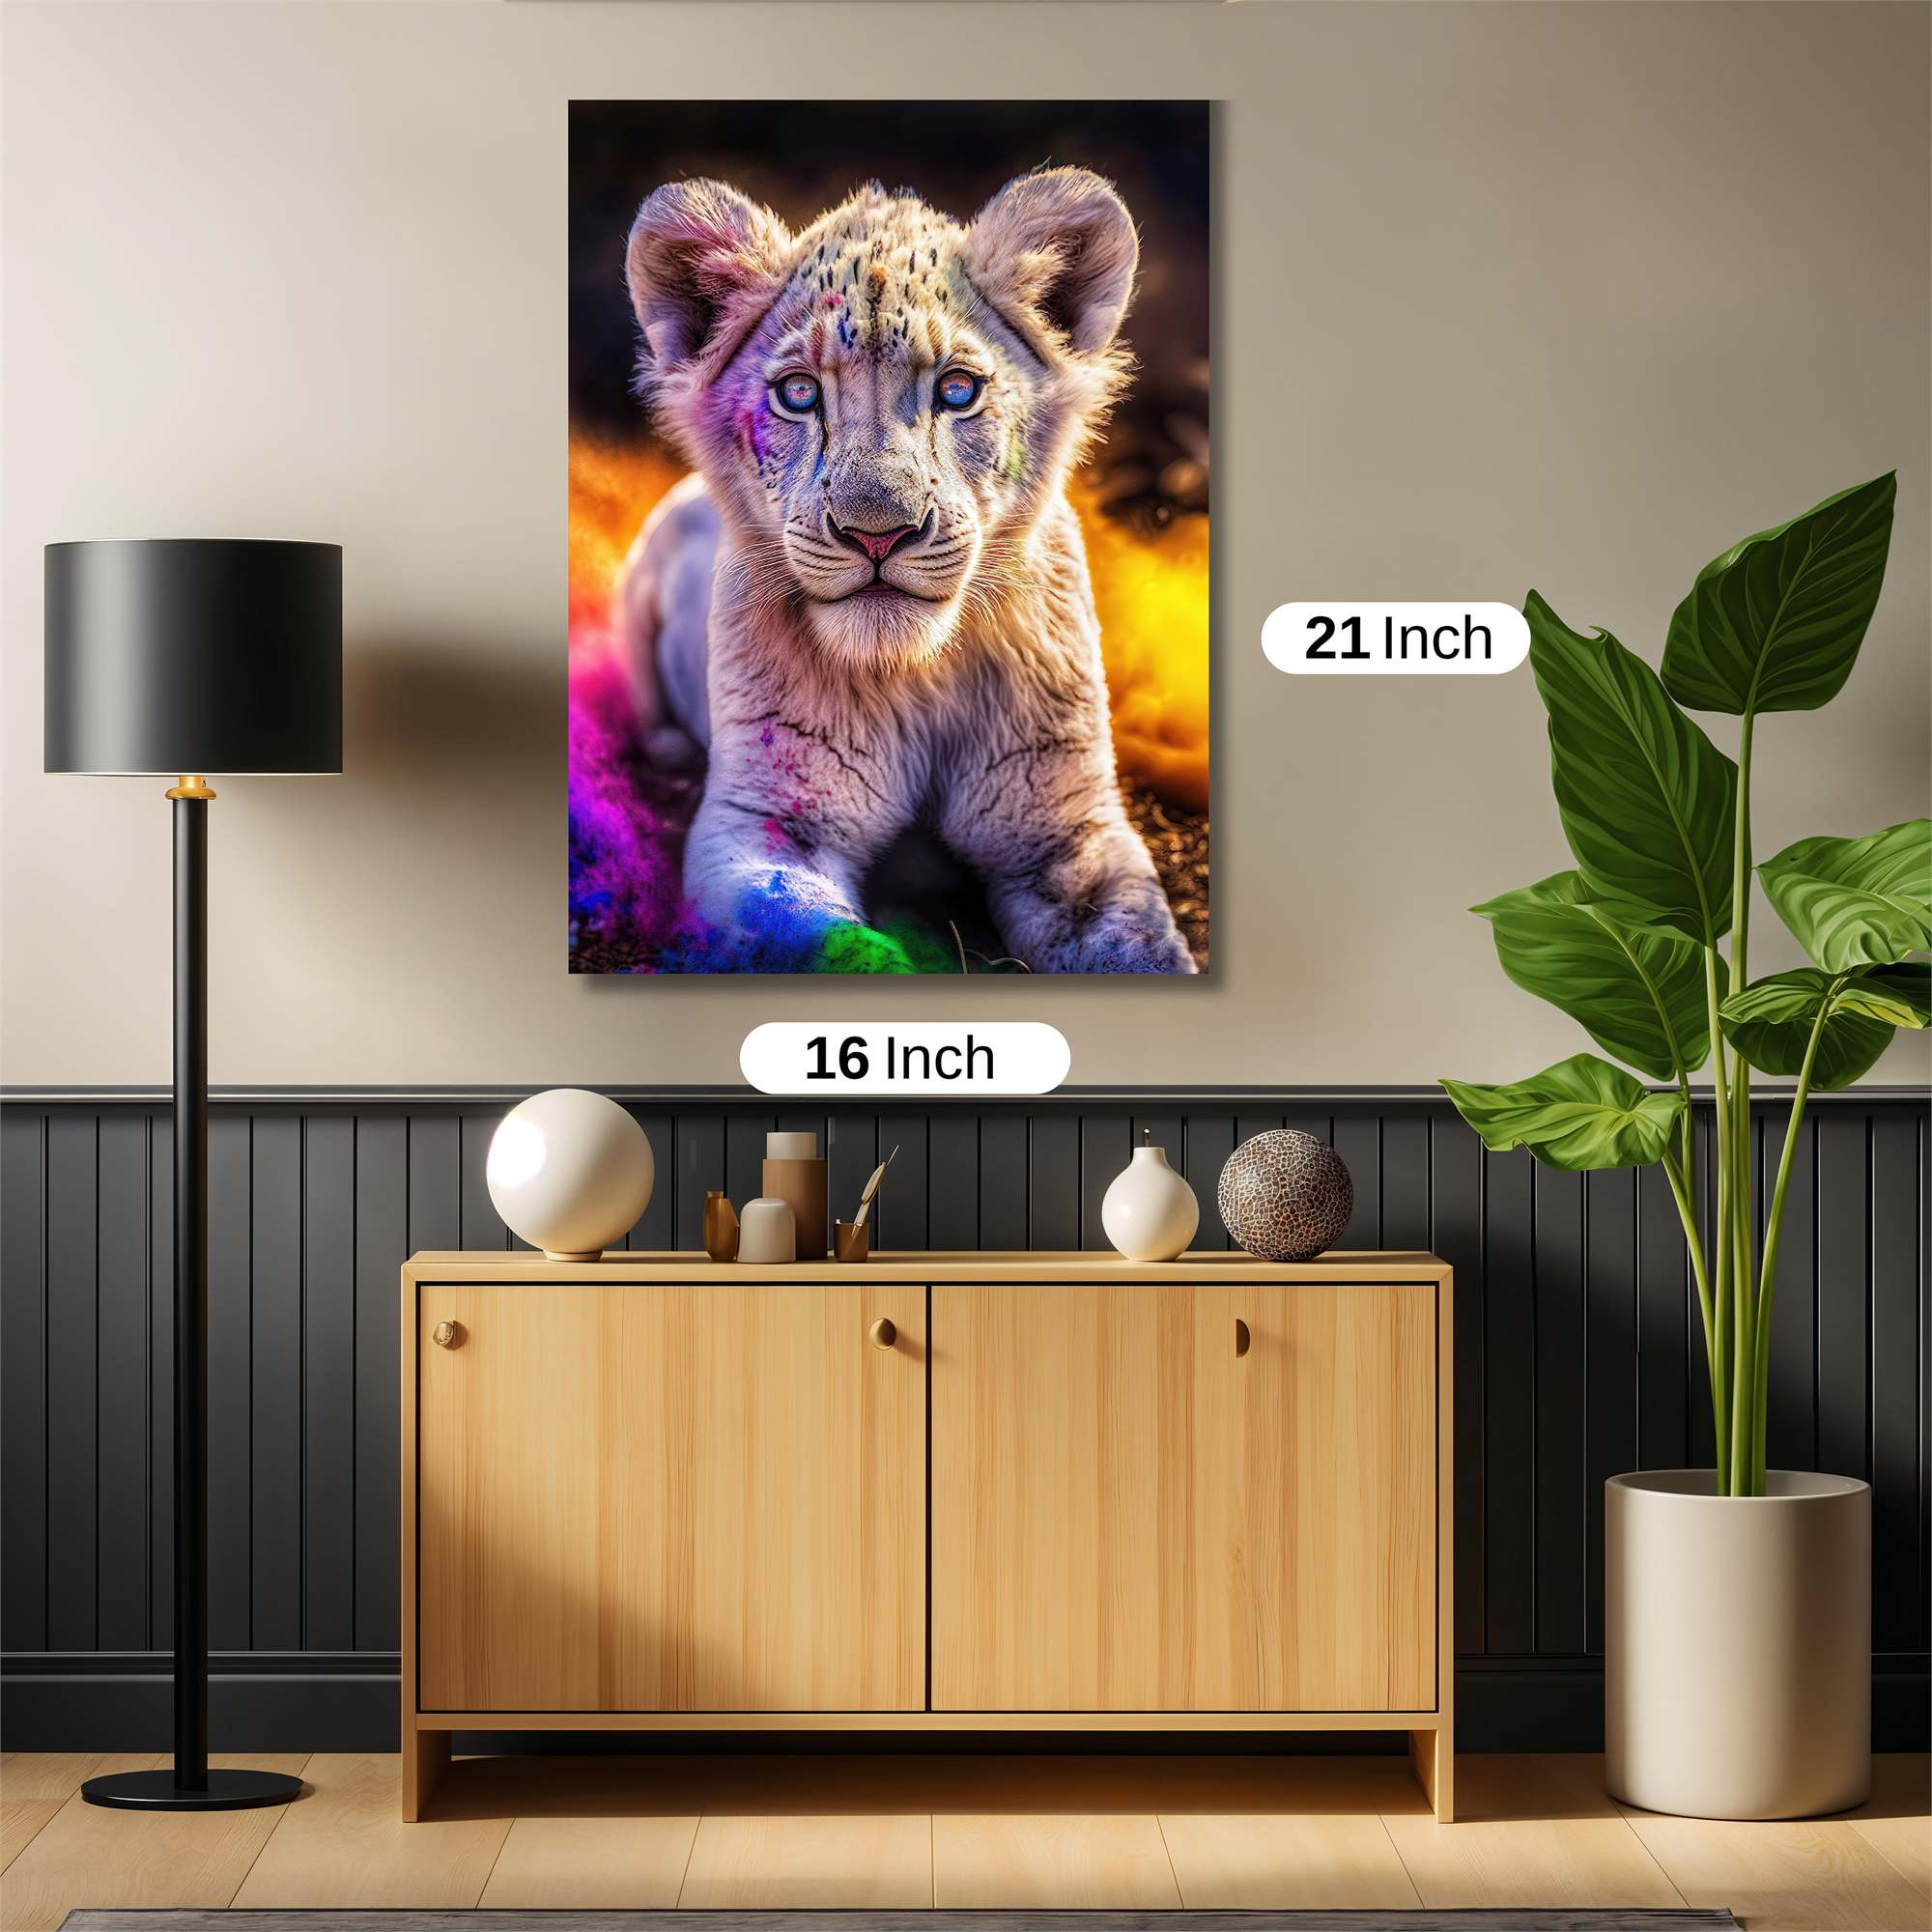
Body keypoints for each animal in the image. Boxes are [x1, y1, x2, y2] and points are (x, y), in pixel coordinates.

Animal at [617, 168, 1196, 973]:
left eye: (957, 390)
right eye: (798, 393)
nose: (877, 534)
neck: (916, 678)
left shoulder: (1066, 833)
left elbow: (1138, 950)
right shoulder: (763, 826)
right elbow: (837, 948)